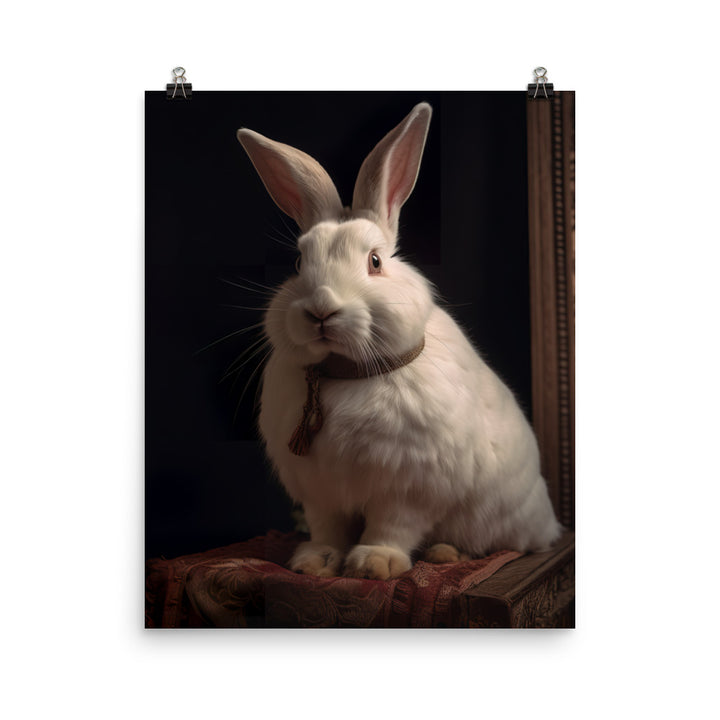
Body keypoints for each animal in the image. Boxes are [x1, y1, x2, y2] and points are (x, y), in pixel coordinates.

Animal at [236, 102, 562, 580]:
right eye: (298, 263)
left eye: (375, 262)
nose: (321, 310)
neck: (345, 374)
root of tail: (548, 523)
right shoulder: (321, 492)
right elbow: (327, 527)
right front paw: (316, 562)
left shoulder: (409, 486)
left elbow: (393, 525)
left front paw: (375, 564)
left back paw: (445, 553)